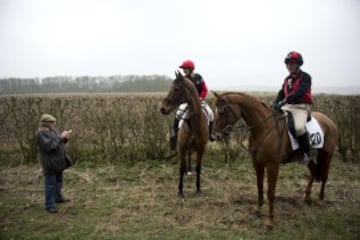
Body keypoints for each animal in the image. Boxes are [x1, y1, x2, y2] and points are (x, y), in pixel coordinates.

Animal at [212, 91, 336, 228]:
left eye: (221, 112)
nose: (216, 136)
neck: (264, 127)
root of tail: (329, 121)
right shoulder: (257, 164)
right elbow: (260, 187)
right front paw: (258, 210)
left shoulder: (272, 166)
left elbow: (271, 192)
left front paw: (270, 220)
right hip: (308, 158)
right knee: (314, 172)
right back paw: (307, 198)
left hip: (326, 155)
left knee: (324, 176)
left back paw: (320, 200)